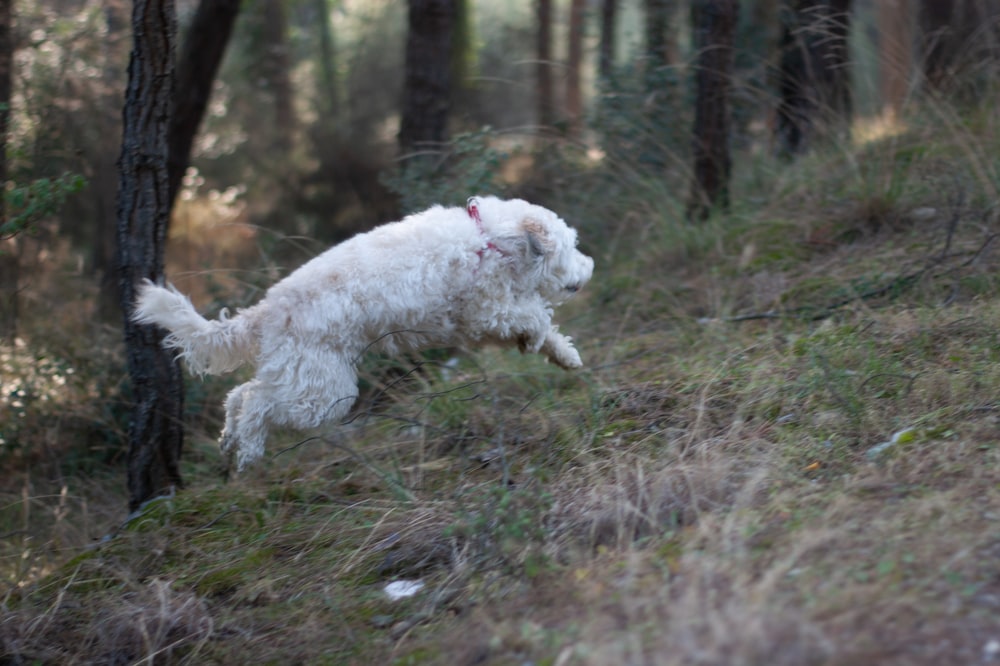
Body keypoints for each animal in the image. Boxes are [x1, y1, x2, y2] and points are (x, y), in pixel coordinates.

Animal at [133, 195, 592, 470]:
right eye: (571, 246)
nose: (589, 267)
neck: (491, 240)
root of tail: (267, 310)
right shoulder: (487, 310)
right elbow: (535, 315)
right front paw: (546, 341)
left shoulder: (483, 322)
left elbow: (540, 325)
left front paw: (564, 355)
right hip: (322, 394)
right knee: (259, 402)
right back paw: (248, 450)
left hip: (300, 377)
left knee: (241, 393)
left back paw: (230, 438)